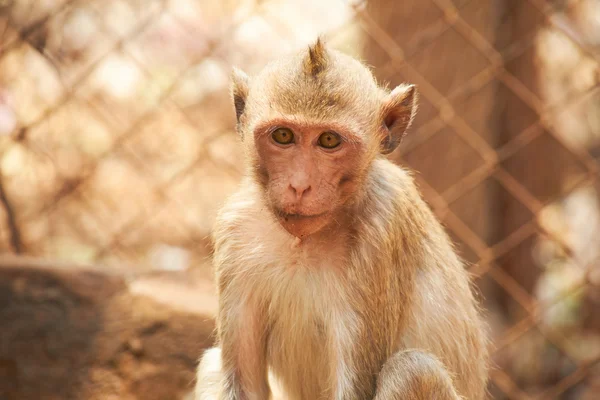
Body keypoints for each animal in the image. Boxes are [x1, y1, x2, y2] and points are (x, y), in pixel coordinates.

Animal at [195, 38, 490, 400]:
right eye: (283, 136)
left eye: (329, 140)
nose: (300, 185)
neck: (302, 242)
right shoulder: (235, 228)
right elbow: (240, 381)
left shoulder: (381, 232)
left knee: (411, 370)